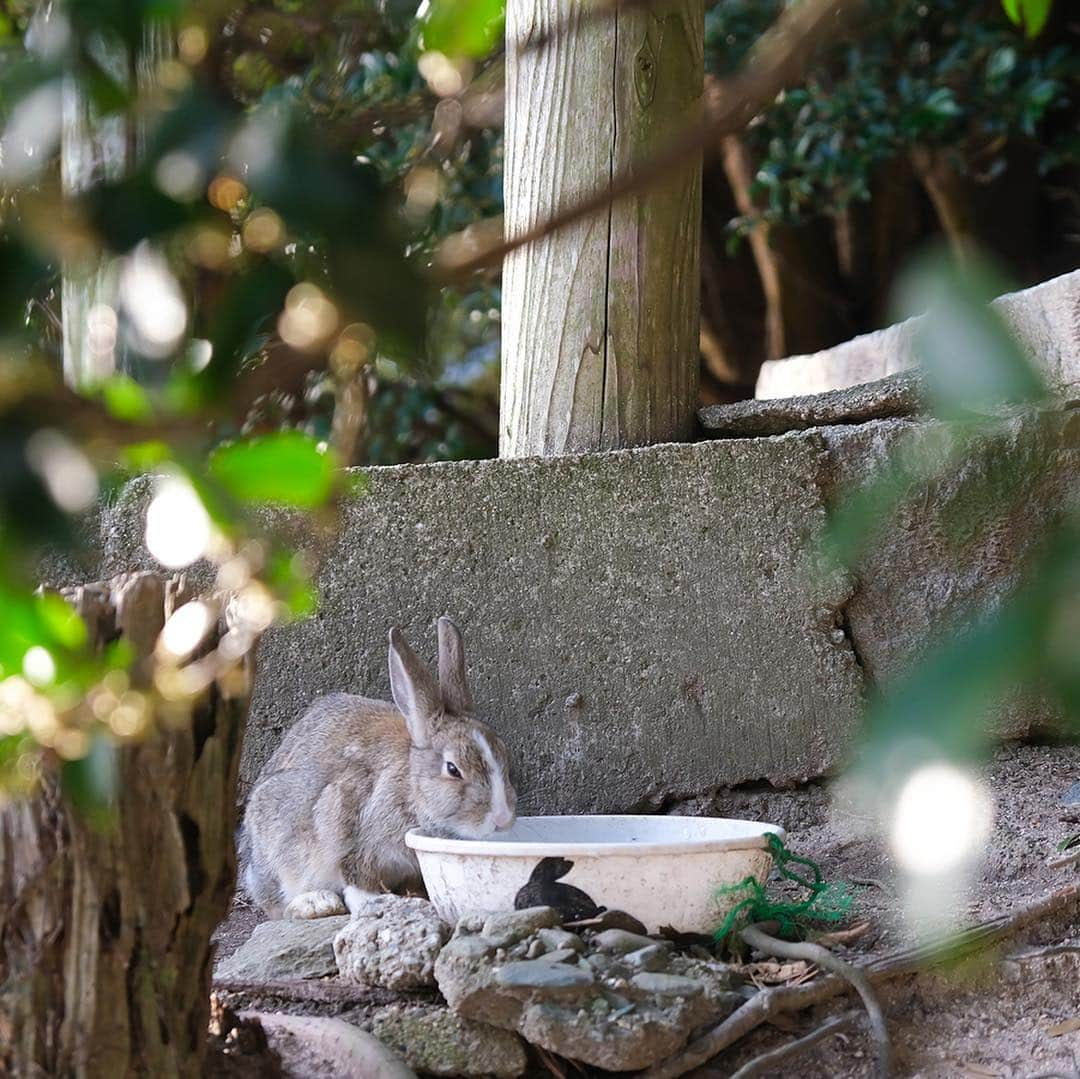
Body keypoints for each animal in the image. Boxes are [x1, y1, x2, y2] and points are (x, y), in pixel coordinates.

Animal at [241, 617, 518, 920]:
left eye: (503, 754)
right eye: (453, 769)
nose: (503, 818)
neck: (410, 788)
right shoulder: (350, 826)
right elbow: (356, 876)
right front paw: (371, 903)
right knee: (279, 903)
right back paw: (317, 903)